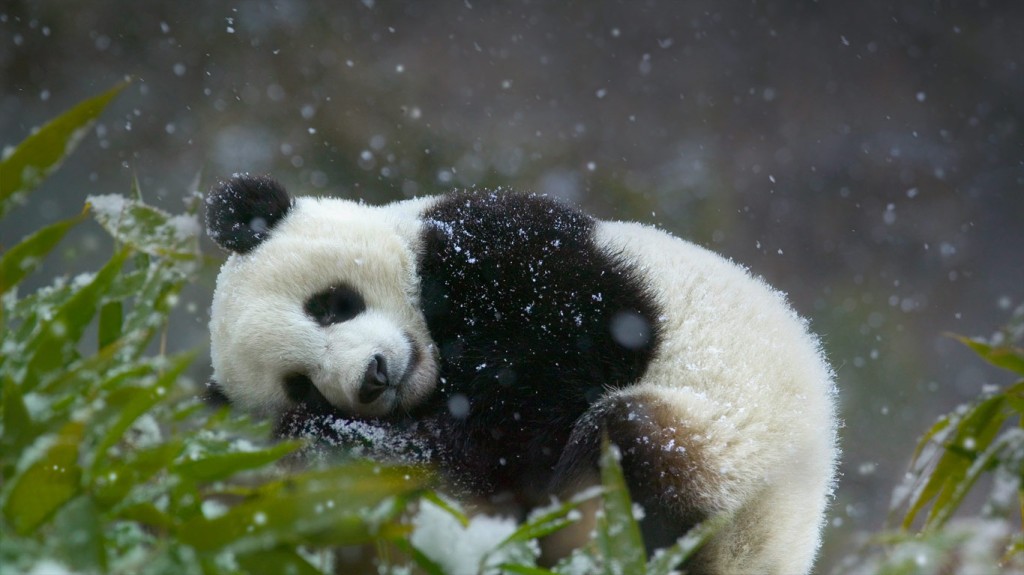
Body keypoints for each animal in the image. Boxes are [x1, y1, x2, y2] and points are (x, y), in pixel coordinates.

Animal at [205, 173, 838, 575]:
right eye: (301, 383)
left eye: (331, 305)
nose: (374, 378)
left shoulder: (508, 250)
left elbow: (565, 362)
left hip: (732, 446)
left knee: (633, 445)